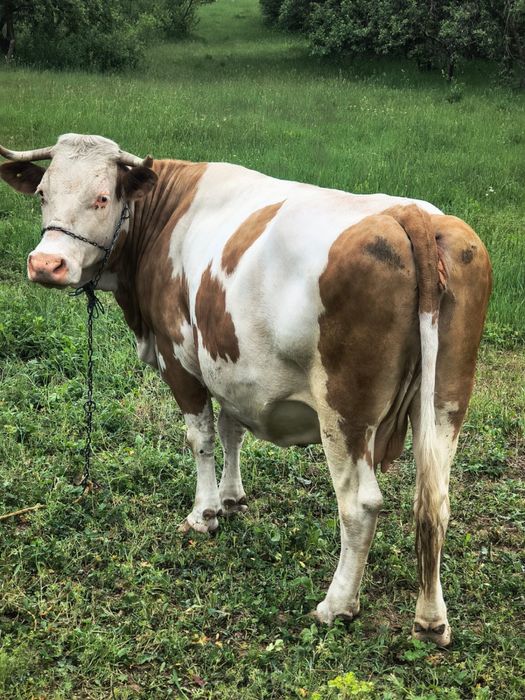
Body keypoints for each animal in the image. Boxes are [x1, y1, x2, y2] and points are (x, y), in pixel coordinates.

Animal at [0, 134, 492, 646]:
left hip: (345, 412)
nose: (45, 264)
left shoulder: (180, 359)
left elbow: (201, 439)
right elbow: (231, 430)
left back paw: (336, 605)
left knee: (359, 505)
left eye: (101, 197)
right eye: (42, 194)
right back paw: (431, 619)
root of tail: (411, 214)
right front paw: (232, 498)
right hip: (445, 401)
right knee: (435, 502)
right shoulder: (232, 367)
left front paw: (205, 513)